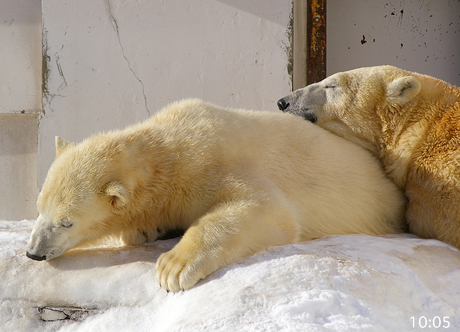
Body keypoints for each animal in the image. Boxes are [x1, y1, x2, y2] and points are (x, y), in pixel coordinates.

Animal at [26, 98, 406, 290]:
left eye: (66, 222)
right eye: (39, 208)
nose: (33, 253)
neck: (168, 153)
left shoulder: (210, 163)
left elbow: (269, 211)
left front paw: (173, 267)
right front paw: (147, 229)